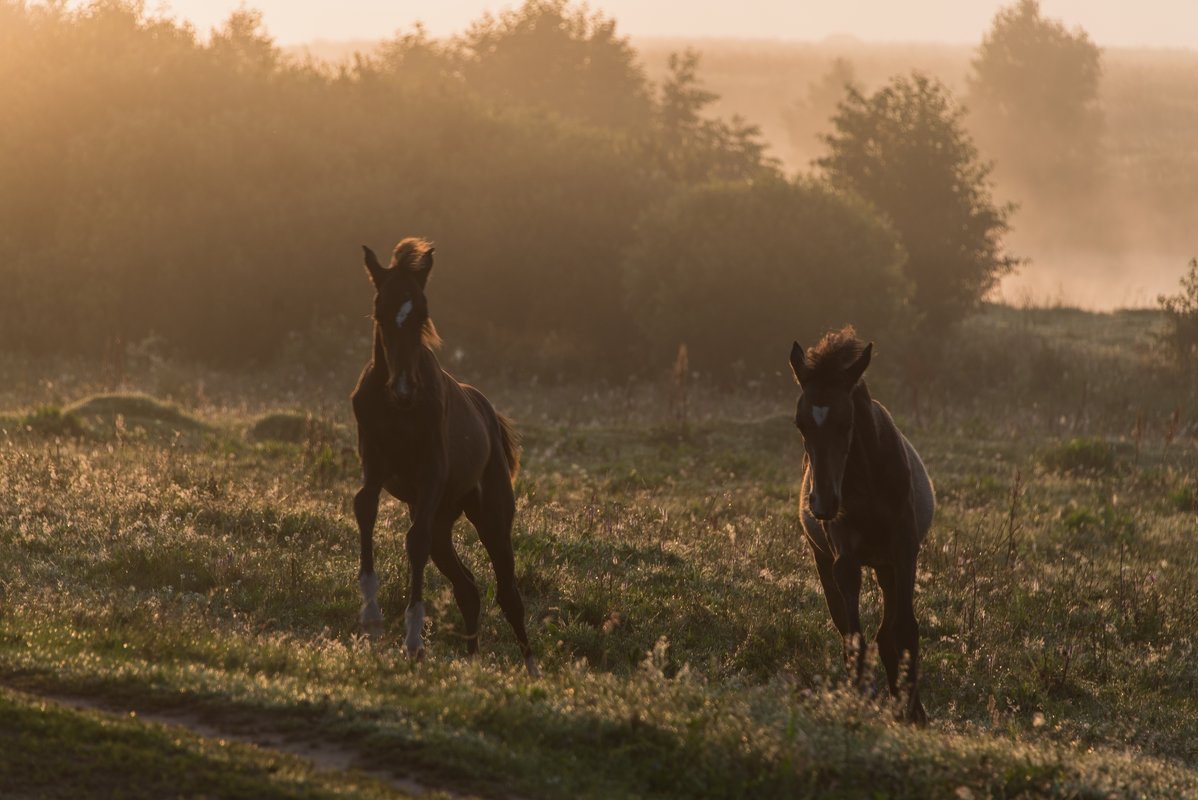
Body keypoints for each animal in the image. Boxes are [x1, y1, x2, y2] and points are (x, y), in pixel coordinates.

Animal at [347, 237, 534, 675]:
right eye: (380, 312)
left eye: (422, 314)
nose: (403, 389)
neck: (397, 410)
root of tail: (486, 411)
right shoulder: (375, 467)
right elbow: (365, 508)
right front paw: (372, 621)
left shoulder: (430, 475)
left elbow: (413, 541)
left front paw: (414, 641)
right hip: (443, 523)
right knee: (468, 587)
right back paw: (472, 661)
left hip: (491, 517)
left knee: (508, 592)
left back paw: (531, 669)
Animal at [790, 325, 939, 723]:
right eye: (800, 423)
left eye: (846, 422)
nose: (823, 503)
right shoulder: (844, 554)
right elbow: (854, 634)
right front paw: (859, 693)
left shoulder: (904, 550)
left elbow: (905, 630)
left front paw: (914, 709)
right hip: (826, 559)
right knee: (848, 626)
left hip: (886, 566)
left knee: (889, 633)